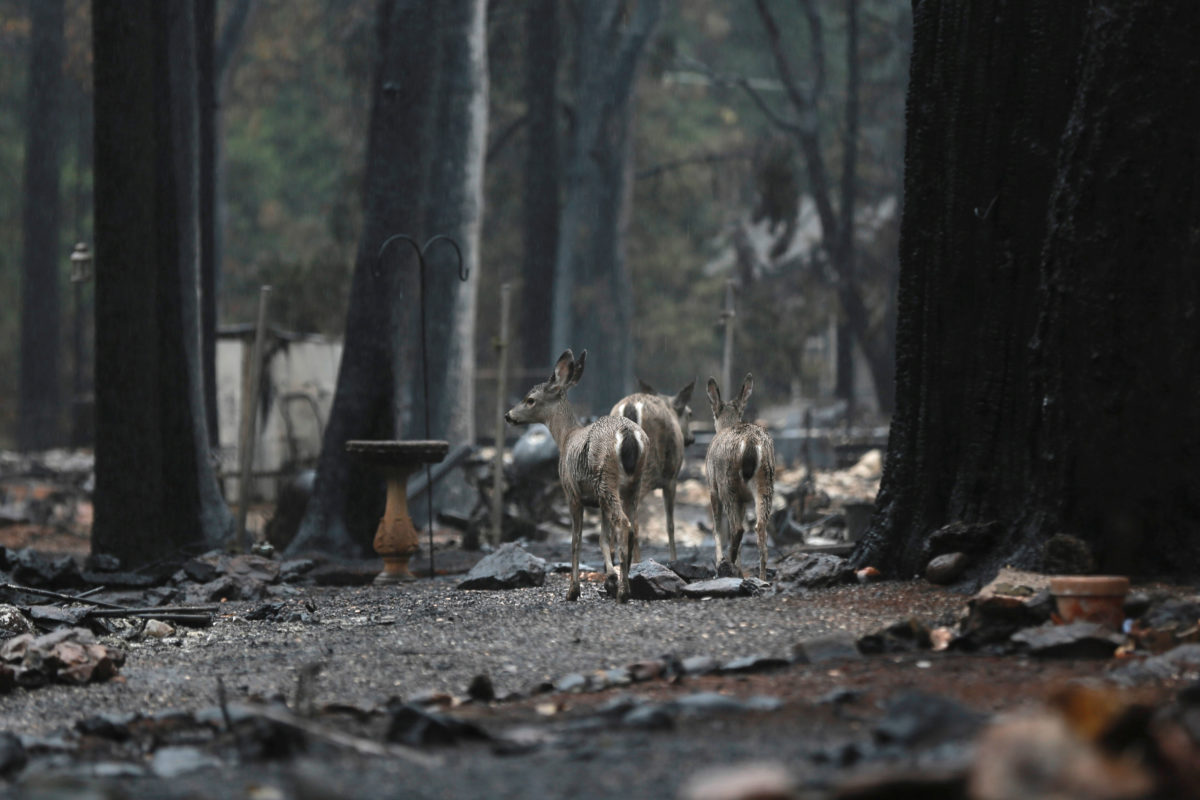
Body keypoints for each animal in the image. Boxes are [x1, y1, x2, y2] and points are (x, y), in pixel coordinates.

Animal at [501, 347, 648, 604]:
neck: (566, 437)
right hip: (631, 483)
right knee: (633, 527)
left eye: (530, 399)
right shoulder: (597, 501)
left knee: (624, 524)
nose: (509, 415)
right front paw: (610, 578)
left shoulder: (572, 493)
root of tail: (629, 434)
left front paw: (573, 591)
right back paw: (625, 586)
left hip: (606, 478)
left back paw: (623, 592)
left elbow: (576, 541)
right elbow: (602, 539)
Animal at [609, 379, 696, 561]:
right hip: (645, 467)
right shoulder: (671, 478)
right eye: (690, 413)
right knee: (633, 518)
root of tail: (630, 407)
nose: (691, 438)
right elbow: (670, 523)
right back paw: (635, 560)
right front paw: (673, 559)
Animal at [700, 371, 777, 578]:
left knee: (737, 528)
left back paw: (726, 566)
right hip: (766, 481)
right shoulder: (743, 500)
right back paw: (761, 577)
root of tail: (750, 444)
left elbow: (717, 528)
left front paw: (721, 562)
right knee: (760, 528)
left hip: (727, 484)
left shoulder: (712, 488)